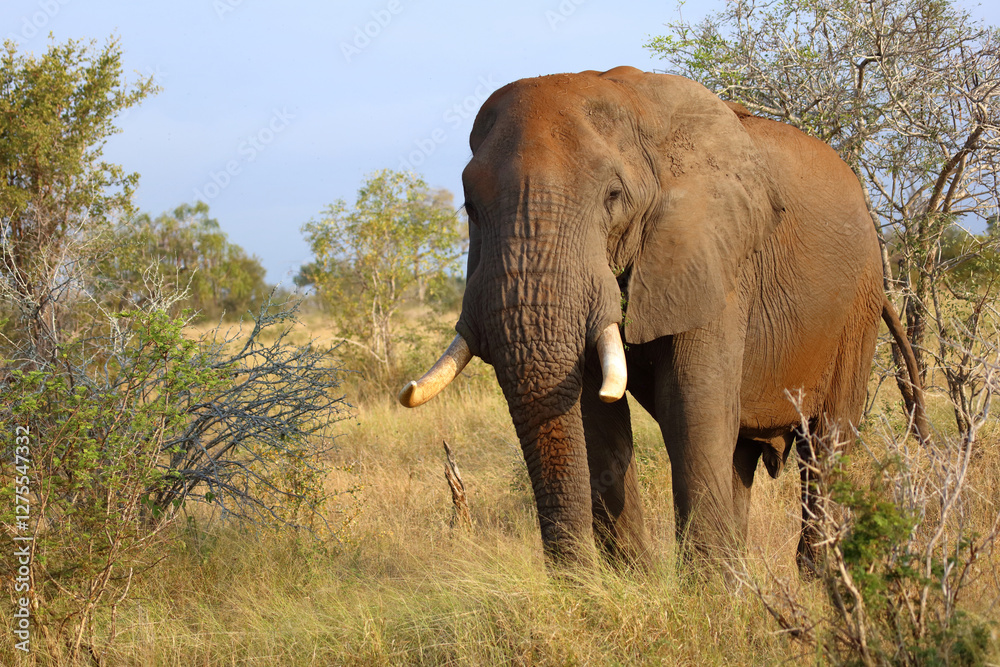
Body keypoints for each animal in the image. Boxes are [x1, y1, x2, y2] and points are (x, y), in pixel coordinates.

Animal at [399, 67, 926, 568]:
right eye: (470, 207)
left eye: (612, 196)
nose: (571, 580)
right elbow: (594, 415)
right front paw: (631, 583)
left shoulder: (715, 256)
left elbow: (691, 403)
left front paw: (701, 594)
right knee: (740, 452)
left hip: (857, 302)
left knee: (827, 441)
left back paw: (818, 577)